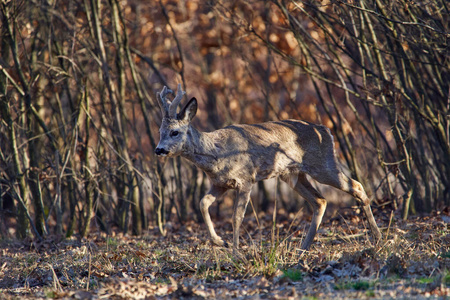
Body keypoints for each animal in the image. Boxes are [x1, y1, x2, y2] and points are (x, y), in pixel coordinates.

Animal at [156, 84, 384, 251]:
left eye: (175, 132)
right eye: (160, 131)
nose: (159, 149)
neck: (216, 153)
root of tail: (326, 130)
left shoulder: (246, 179)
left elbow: (236, 217)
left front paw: (236, 253)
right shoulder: (220, 183)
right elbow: (203, 203)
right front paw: (221, 241)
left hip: (323, 165)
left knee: (357, 186)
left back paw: (377, 236)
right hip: (293, 175)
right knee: (320, 201)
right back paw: (303, 248)